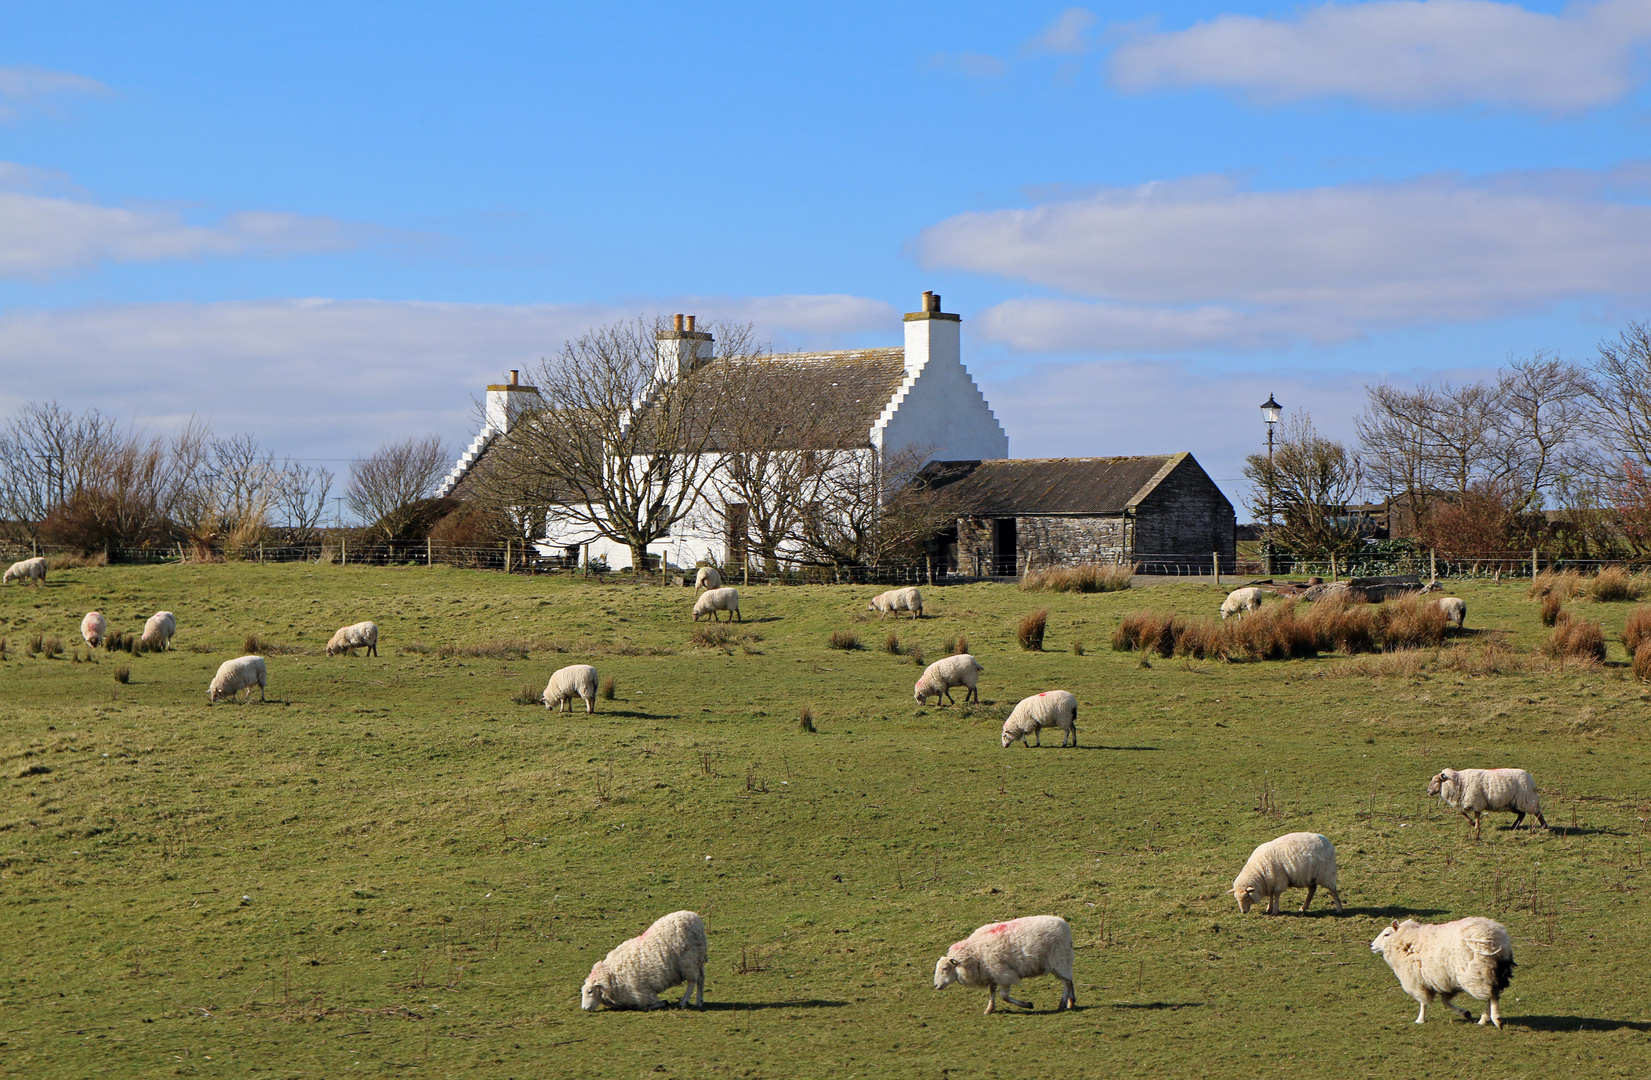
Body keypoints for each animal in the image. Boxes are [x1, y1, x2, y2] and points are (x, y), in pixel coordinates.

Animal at [577, 911, 706, 1017]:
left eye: (590, 992)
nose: (584, 1008)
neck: (612, 976)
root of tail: (694, 918)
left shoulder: (640, 992)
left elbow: (644, 1006)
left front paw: (662, 1003)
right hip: (698, 958)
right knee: (701, 979)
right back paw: (699, 1002)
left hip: (688, 960)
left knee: (692, 981)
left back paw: (684, 1002)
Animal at [937, 918, 1076, 1017]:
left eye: (945, 968)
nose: (936, 986)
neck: (974, 953)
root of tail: (1064, 924)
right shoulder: (992, 973)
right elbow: (992, 991)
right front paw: (989, 1008)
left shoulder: (1003, 973)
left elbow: (1004, 996)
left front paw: (1027, 1004)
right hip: (1063, 960)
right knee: (1069, 980)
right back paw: (1071, 1002)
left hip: (1058, 959)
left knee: (1067, 982)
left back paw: (1062, 1004)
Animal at [1373, 924, 1512, 1030]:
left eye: (1386, 934)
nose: (1372, 945)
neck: (1407, 941)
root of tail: (1493, 937)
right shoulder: (1446, 982)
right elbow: (1444, 1002)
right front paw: (1464, 1013)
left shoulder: (1418, 981)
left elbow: (1423, 1002)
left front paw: (1420, 1019)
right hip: (1489, 973)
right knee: (1490, 995)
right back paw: (1484, 1019)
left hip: (1478, 973)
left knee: (1492, 996)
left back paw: (1496, 1019)